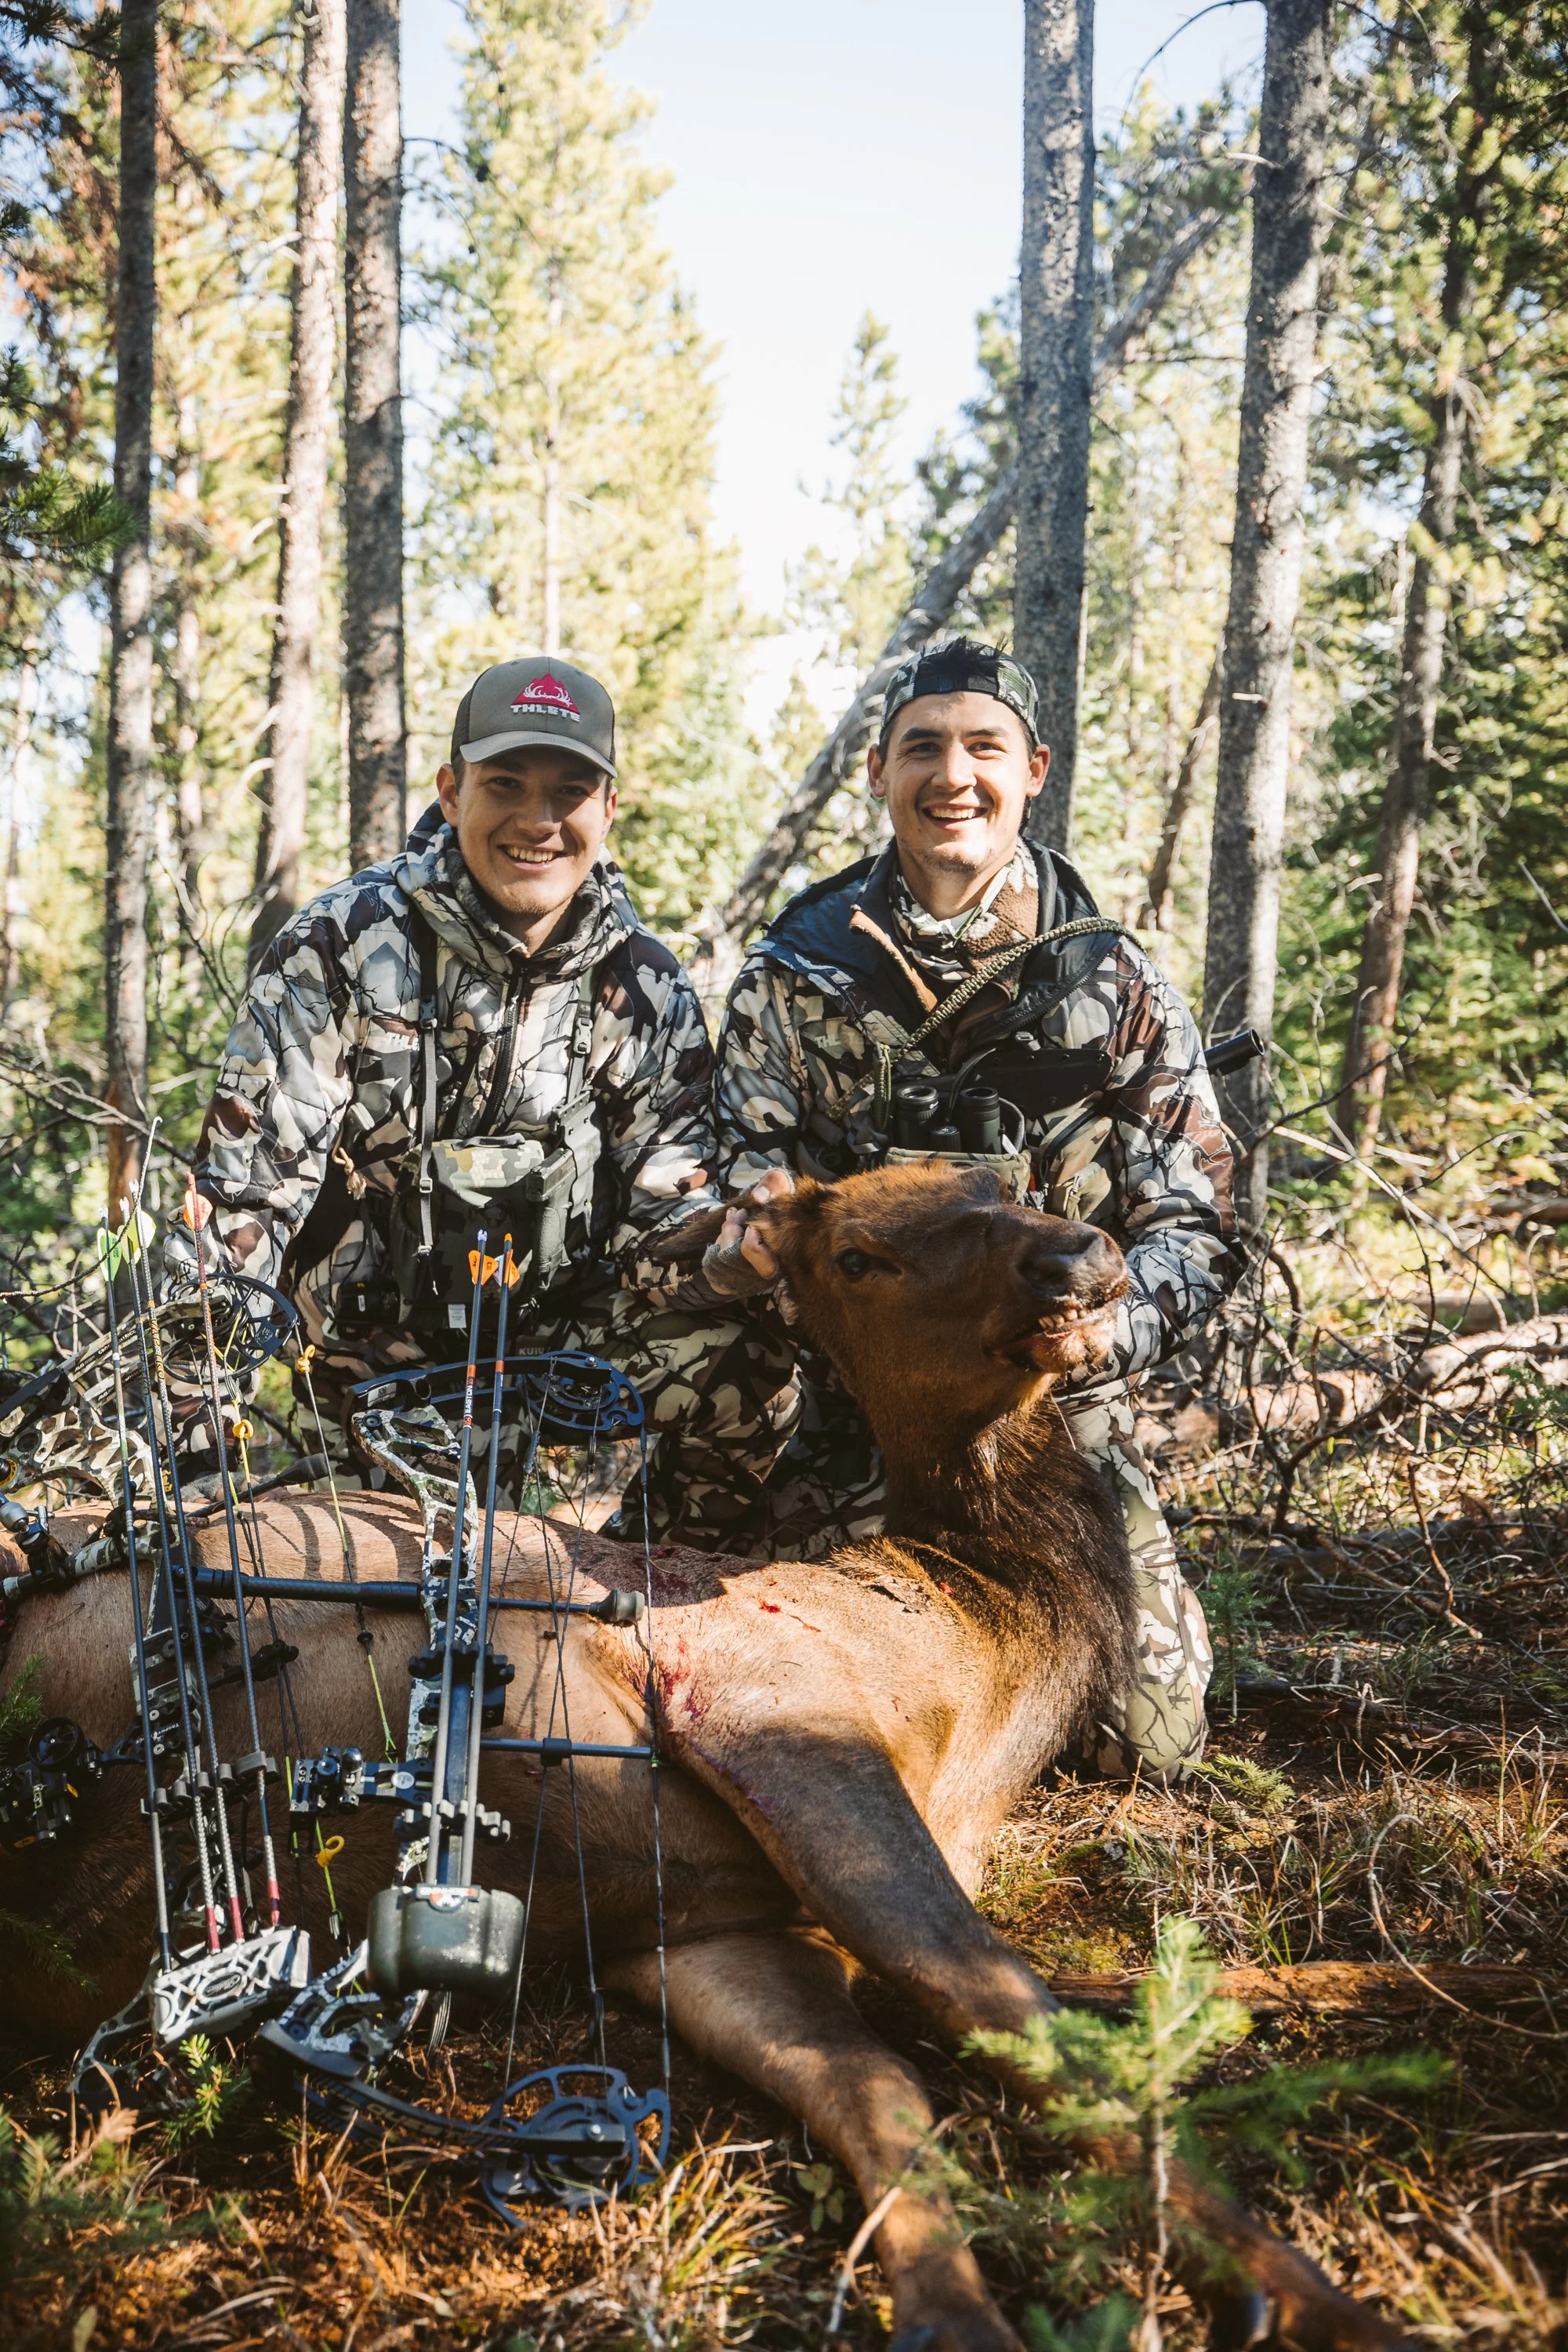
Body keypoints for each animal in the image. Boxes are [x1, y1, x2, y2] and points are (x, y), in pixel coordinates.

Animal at [0, 1164, 1411, 2352]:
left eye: (996, 1176)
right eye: (858, 1255)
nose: (1075, 1256)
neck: (987, 1636)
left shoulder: (709, 1927)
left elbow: (891, 2088)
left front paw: (953, 2313)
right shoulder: (773, 1709)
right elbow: (1018, 2013)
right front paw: (1326, 2306)